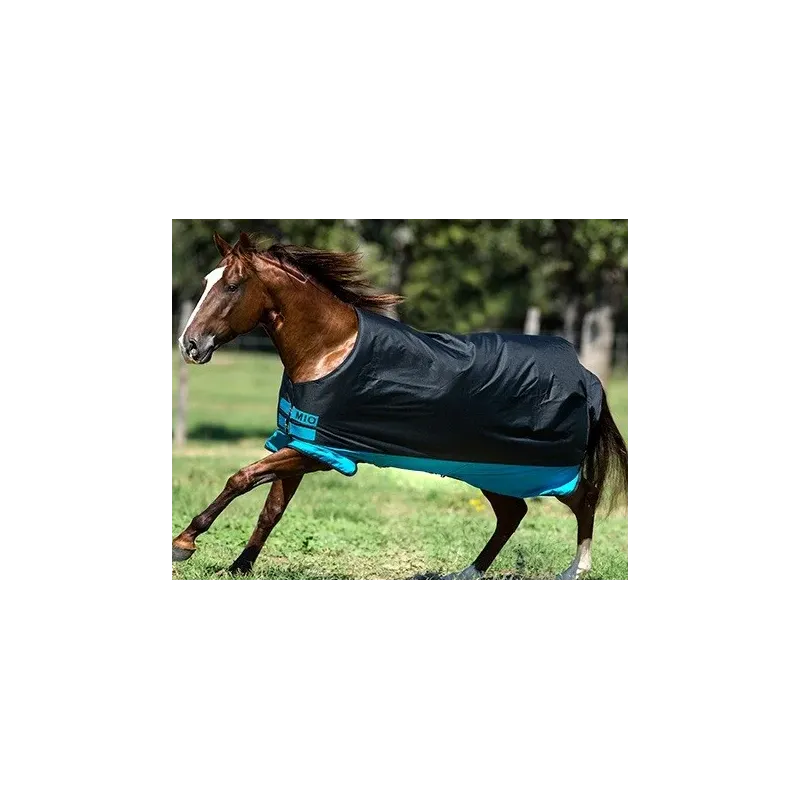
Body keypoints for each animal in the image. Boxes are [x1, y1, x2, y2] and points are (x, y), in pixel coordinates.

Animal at [172, 232, 628, 581]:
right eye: (208, 279)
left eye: (232, 285)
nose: (189, 344)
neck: (329, 350)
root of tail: (586, 376)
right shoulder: (302, 442)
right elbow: (270, 510)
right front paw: (239, 567)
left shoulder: (322, 453)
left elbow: (240, 479)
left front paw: (183, 542)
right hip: (494, 469)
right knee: (513, 513)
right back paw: (465, 574)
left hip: (540, 469)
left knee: (584, 498)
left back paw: (575, 570)